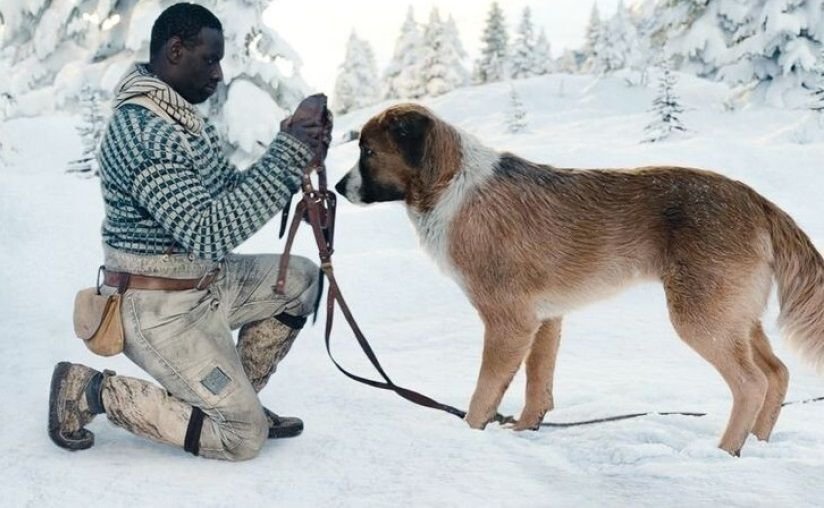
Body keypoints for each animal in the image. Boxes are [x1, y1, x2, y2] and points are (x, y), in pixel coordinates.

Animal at [334, 103, 824, 456]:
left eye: (368, 152)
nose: (338, 189)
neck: (450, 183)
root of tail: (757, 199)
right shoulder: (544, 319)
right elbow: (537, 384)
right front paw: (524, 430)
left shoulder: (508, 322)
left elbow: (484, 392)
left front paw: (469, 436)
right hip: (735, 315)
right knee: (776, 373)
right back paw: (758, 442)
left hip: (702, 317)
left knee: (751, 383)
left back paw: (725, 451)